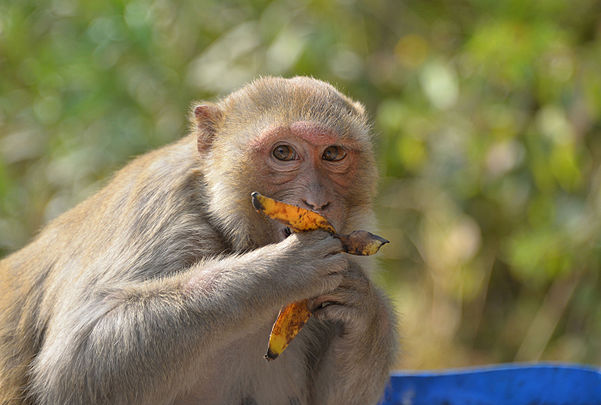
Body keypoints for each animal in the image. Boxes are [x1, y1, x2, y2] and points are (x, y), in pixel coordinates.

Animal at [1, 76, 398, 404]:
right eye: (283, 152)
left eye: (333, 154)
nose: (317, 201)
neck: (226, 231)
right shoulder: (160, 213)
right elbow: (75, 365)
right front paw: (284, 269)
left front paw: (365, 305)